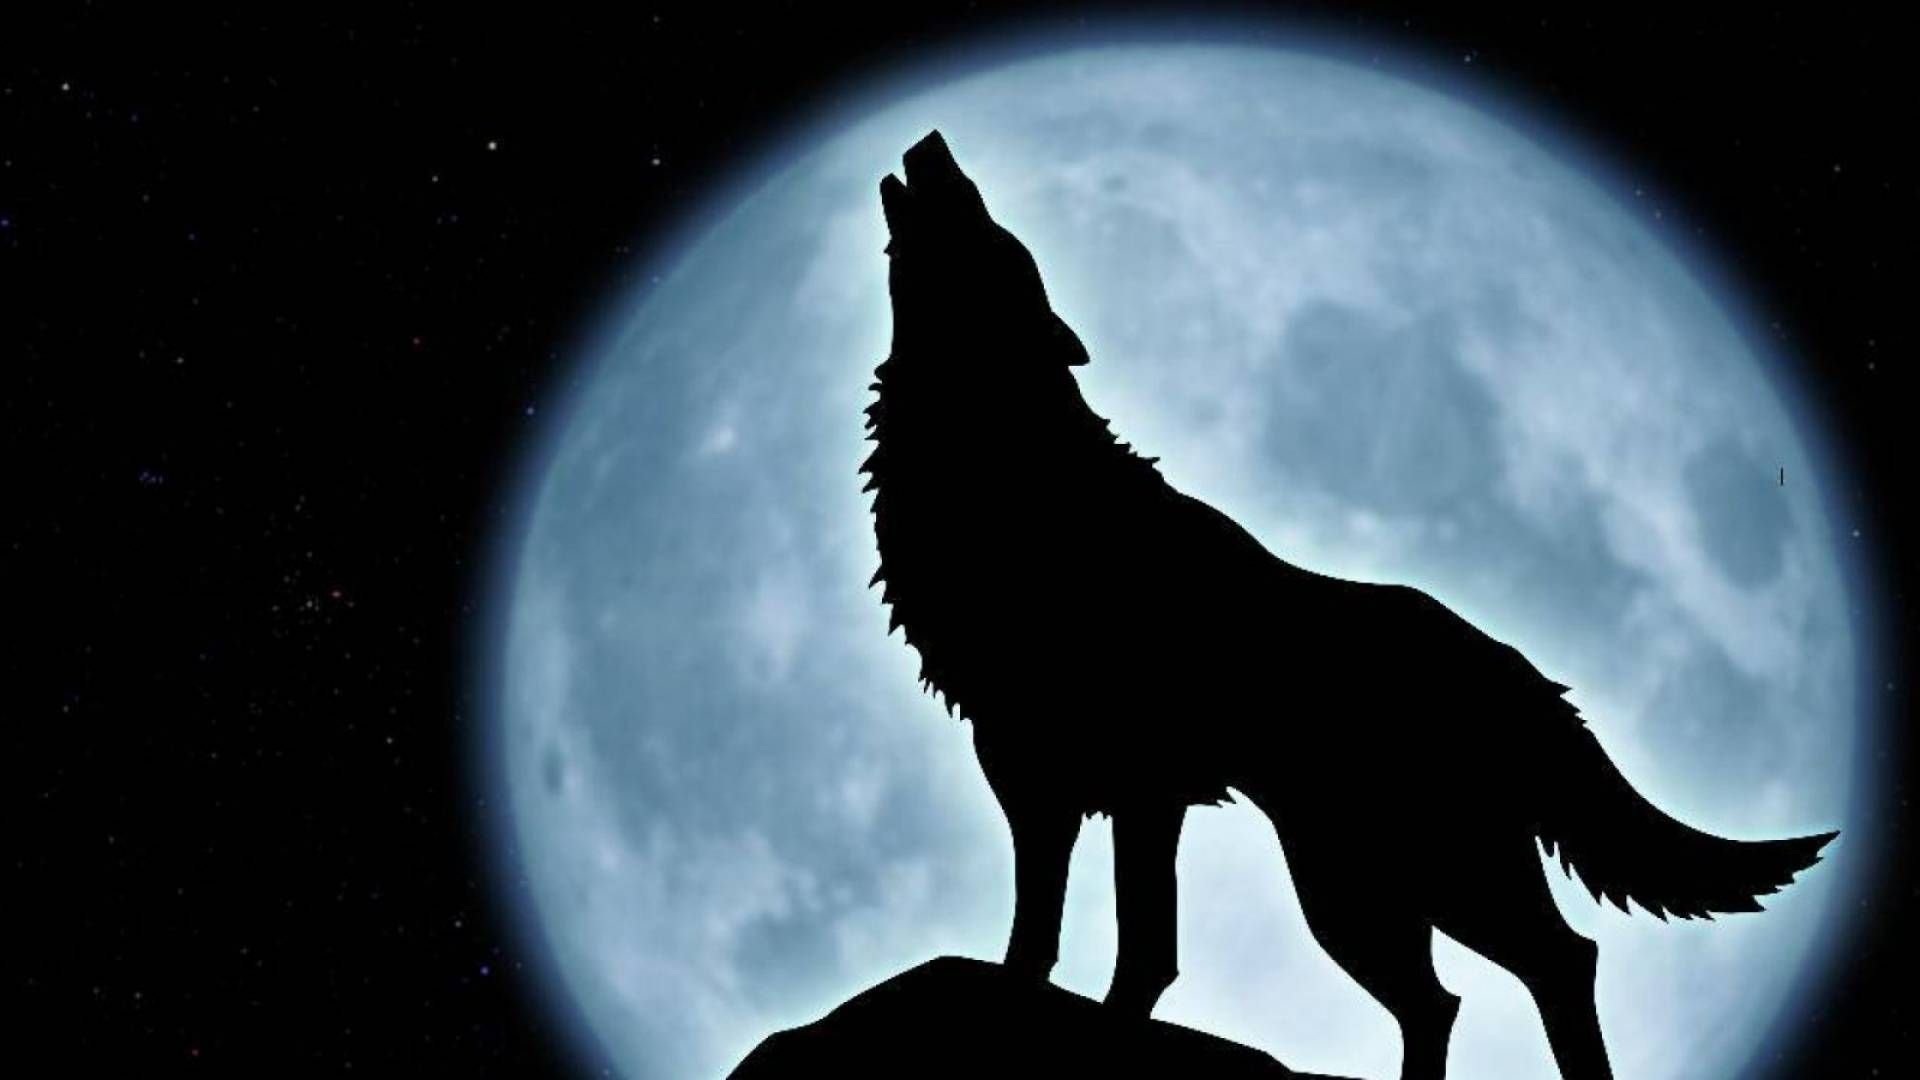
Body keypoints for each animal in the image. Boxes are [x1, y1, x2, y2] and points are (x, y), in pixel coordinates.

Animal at [859, 130, 1835, 1080]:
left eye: (994, 236)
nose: (935, 141)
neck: (1018, 471)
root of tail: (1523, 673)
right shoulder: (1057, 785)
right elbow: (1085, 942)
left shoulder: (1115, 788)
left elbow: (1113, 947)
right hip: (1359, 885)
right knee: (1444, 1000)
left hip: (1412, 874)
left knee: (1558, 962)